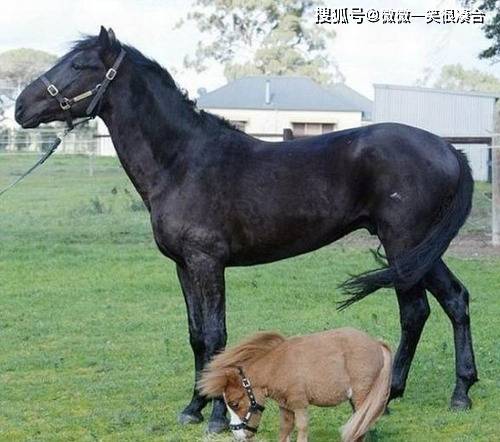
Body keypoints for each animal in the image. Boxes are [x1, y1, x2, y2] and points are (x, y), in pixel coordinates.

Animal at [198, 326, 390, 440]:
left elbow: (302, 427)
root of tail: (377, 343)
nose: (237, 435)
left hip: (361, 395)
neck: (278, 367)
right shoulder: (285, 406)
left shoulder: (299, 404)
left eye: (234, 404)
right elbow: (285, 429)